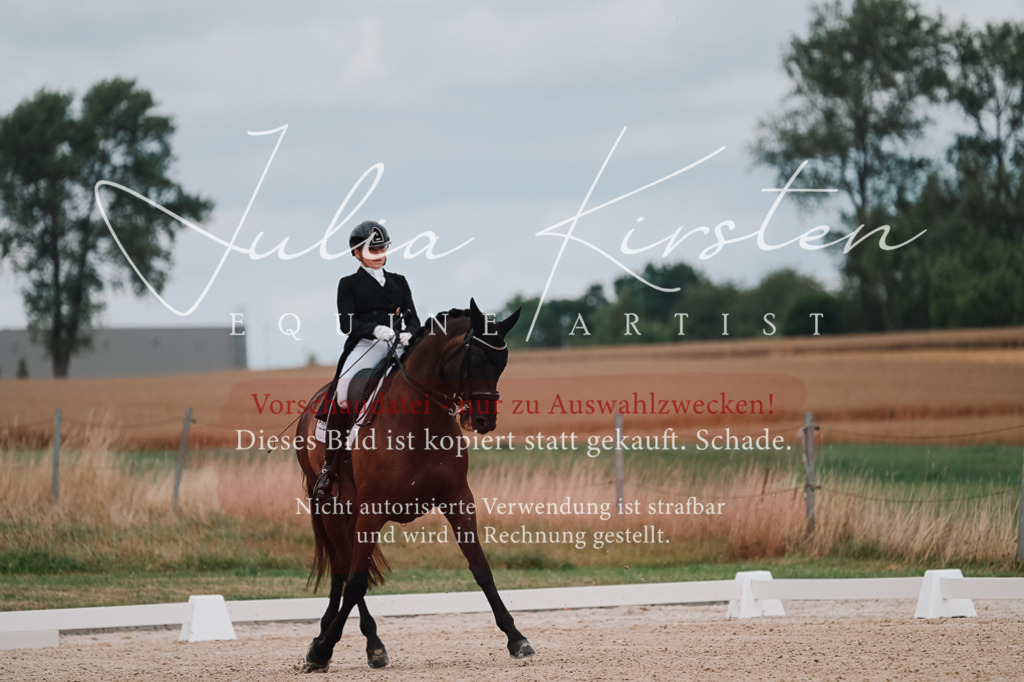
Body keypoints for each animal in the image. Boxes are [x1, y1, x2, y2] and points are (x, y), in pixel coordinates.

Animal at [293, 298, 534, 671]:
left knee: (340, 569)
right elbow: (358, 581)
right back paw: (360, 644)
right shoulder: (372, 511)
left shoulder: (458, 500)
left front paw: (516, 637)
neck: (420, 421)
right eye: (477, 361)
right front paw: (325, 649)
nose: (484, 421)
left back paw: (326, 633)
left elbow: (481, 569)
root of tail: (315, 402)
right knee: (346, 568)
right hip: (332, 507)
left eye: (503, 363)